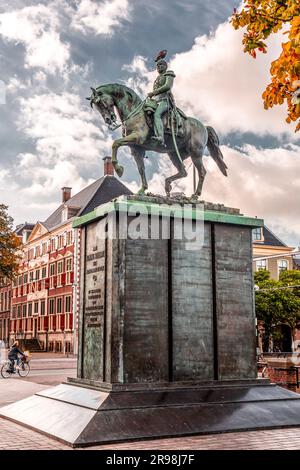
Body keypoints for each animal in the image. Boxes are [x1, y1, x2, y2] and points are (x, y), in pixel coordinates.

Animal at [87, 83, 227, 197]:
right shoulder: (136, 149)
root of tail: (204, 126)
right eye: (96, 106)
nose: (108, 120)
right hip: (174, 154)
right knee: (183, 172)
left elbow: (115, 143)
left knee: (202, 172)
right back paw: (168, 184)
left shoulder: (137, 138)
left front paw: (118, 169)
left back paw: (195, 195)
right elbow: (141, 169)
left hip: (195, 152)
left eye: (100, 102)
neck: (134, 111)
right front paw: (142, 189)